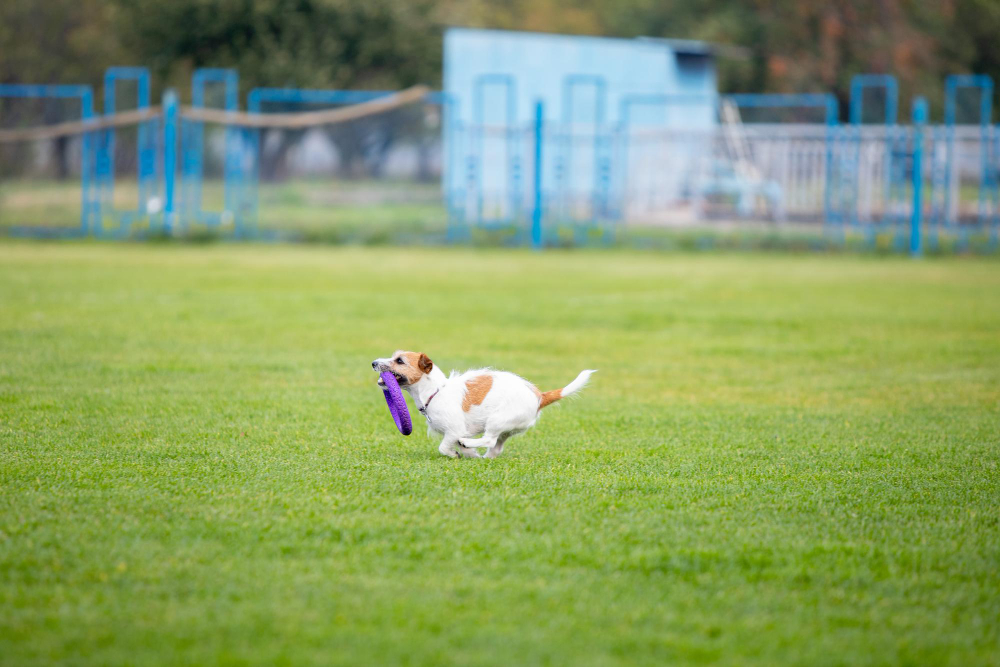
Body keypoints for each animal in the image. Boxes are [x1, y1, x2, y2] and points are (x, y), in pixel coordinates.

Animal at [374, 354, 592, 460]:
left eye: (399, 361)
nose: (373, 362)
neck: (435, 391)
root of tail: (538, 396)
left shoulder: (454, 430)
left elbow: (444, 446)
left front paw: (455, 453)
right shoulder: (456, 432)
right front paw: (469, 454)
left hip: (496, 421)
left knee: (489, 440)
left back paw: (468, 444)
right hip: (506, 430)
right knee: (495, 448)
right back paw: (482, 456)